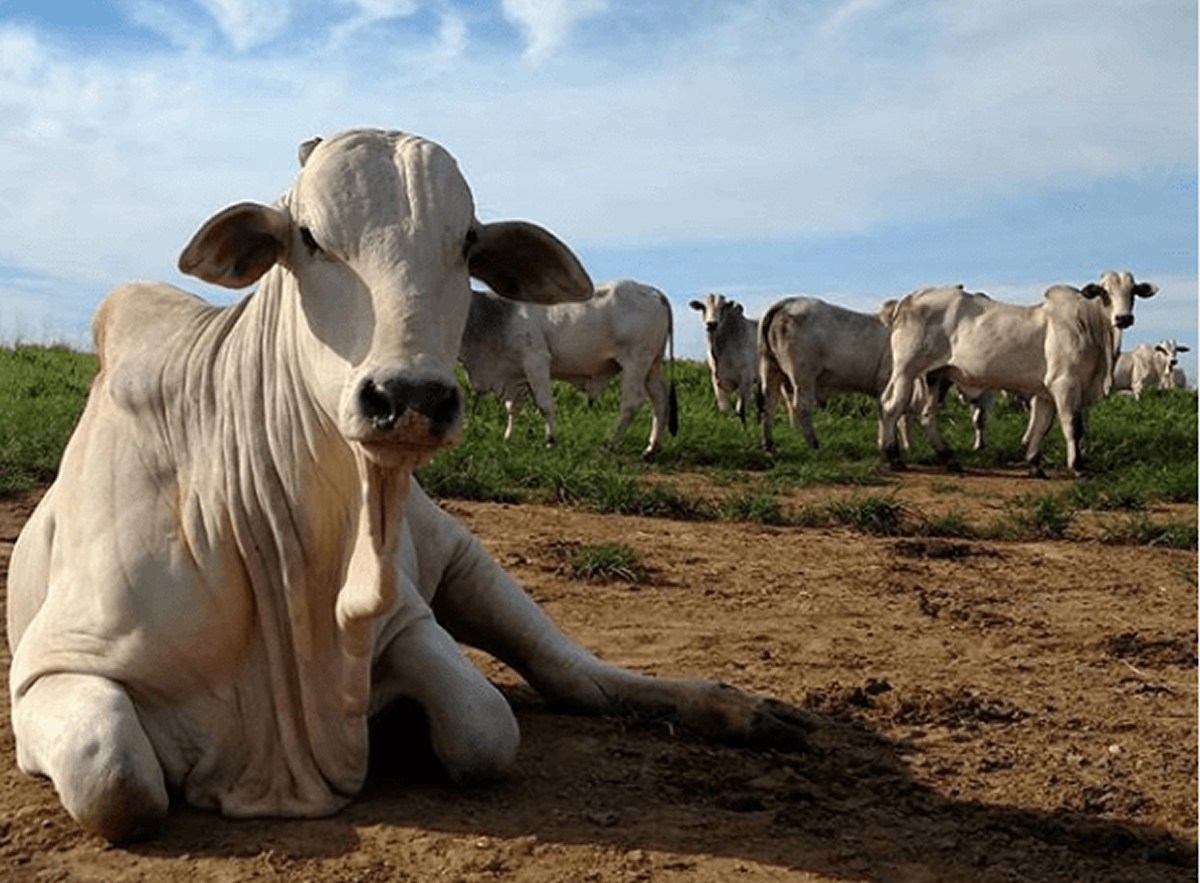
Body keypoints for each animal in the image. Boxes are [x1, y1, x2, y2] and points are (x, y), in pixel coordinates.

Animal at [458, 279, 678, 457]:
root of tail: (653, 291)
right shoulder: (515, 374)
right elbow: (513, 408)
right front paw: (508, 437)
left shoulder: (536, 360)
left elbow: (544, 404)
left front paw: (550, 441)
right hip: (652, 365)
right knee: (659, 398)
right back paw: (651, 448)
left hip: (635, 362)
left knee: (632, 401)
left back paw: (609, 443)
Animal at [689, 292, 759, 425]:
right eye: (703, 307)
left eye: (722, 307)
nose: (711, 324)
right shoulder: (716, 380)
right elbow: (724, 408)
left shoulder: (746, 379)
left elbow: (740, 410)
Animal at [879, 271, 1157, 475]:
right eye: (1105, 292)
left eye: (1133, 291)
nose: (1123, 318)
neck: (1089, 327)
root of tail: (908, 299)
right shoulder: (1065, 385)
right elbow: (1072, 426)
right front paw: (1077, 466)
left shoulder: (1045, 393)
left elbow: (1042, 426)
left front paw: (1034, 463)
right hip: (907, 370)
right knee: (892, 406)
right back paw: (893, 457)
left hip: (937, 376)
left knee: (926, 416)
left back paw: (949, 459)